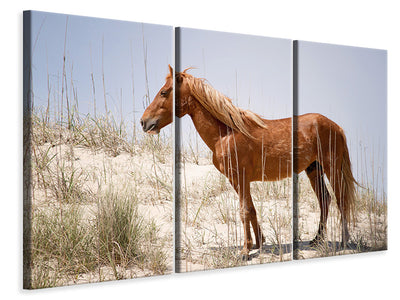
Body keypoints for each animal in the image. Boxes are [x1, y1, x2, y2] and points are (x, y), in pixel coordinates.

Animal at [141, 65, 356, 255]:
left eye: (164, 92)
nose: (144, 122)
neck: (226, 134)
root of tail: (336, 126)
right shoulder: (236, 180)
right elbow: (251, 209)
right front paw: (258, 242)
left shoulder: (242, 178)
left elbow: (244, 211)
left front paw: (245, 250)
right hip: (314, 169)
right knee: (325, 200)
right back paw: (317, 239)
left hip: (332, 168)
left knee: (341, 200)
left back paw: (344, 241)